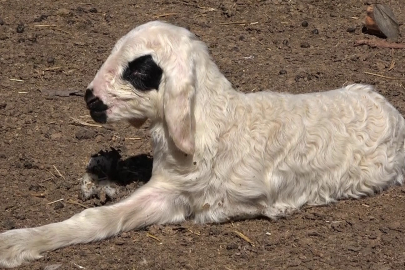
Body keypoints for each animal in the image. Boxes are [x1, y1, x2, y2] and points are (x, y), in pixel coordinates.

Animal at [0, 20, 404, 268]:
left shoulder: (187, 193)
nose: (90, 99)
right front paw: (18, 243)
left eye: (141, 70)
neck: (214, 122)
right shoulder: (167, 191)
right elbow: (97, 219)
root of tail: (385, 105)